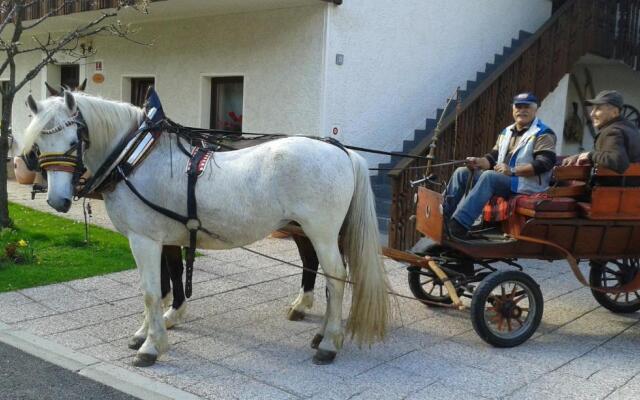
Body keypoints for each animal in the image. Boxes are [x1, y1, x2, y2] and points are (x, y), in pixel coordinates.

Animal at [18, 90, 390, 366]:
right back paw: (321, 329)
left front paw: (151, 347)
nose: (57, 200)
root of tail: (341, 151)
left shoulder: (144, 239)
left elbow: (150, 291)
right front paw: (148, 332)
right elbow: (163, 287)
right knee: (324, 275)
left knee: (336, 279)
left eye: (73, 141)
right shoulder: (160, 238)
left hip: (321, 232)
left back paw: (328, 343)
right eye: (40, 145)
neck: (136, 157)